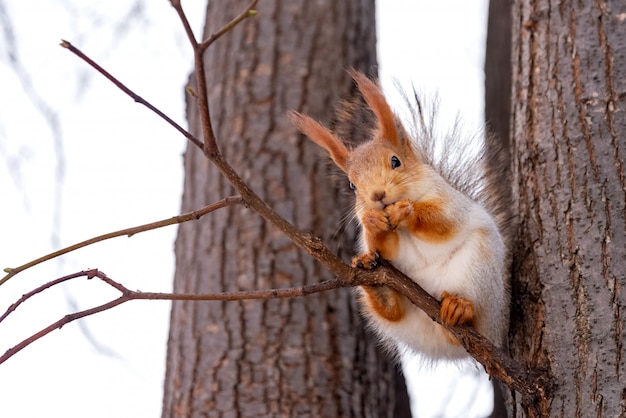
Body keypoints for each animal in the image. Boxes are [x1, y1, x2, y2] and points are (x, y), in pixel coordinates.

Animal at [288, 70, 508, 360]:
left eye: (396, 161)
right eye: (352, 185)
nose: (377, 195)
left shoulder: (451, 203)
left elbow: (444, 222)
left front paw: (406, 211)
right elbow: (385, 248)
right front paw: (374, 223)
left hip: (480, 271)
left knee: (471, 320)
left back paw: (459, 308)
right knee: (392, 312)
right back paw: (375, 284)